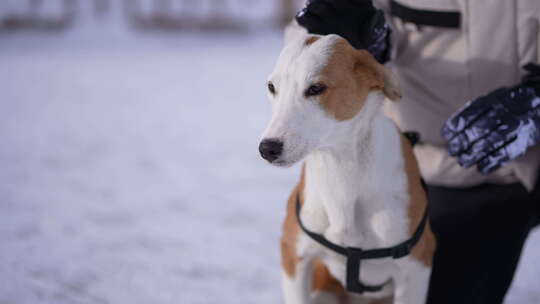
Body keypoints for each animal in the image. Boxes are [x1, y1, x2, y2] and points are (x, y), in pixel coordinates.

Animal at [260, 27, 436, 304]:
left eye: (316, 88)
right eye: (272, 87)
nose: (267, 148)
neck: (341, 172)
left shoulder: (416, 268)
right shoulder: (294, 257)